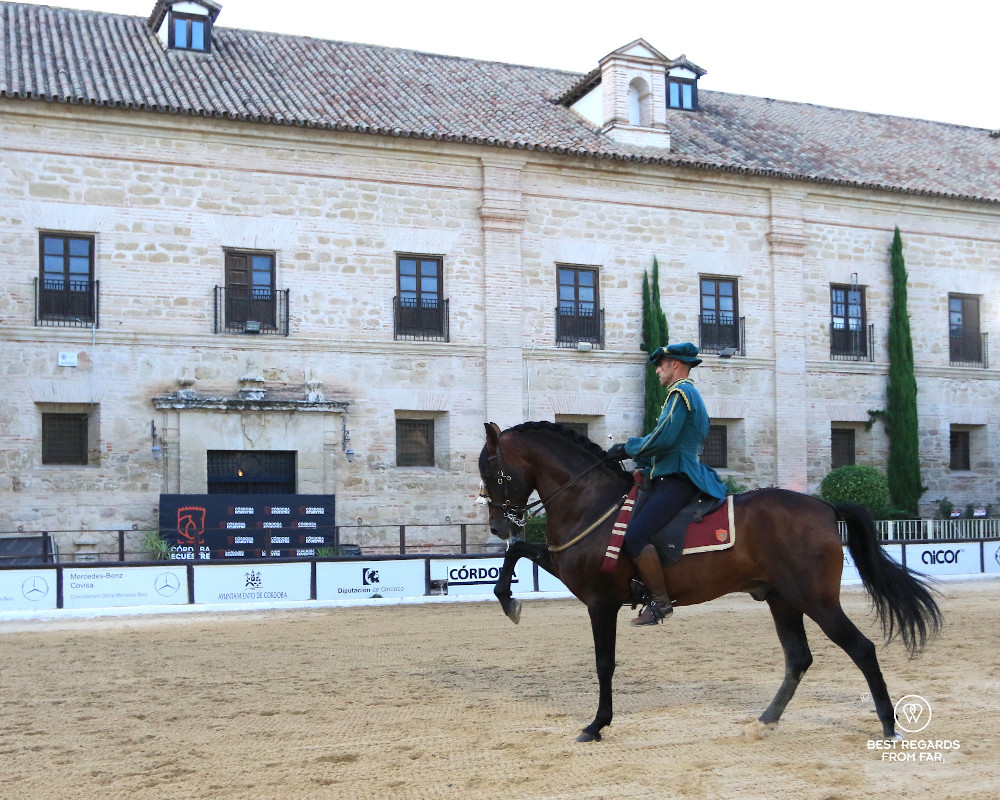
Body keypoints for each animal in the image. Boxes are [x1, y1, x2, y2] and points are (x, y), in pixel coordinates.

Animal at [478, 421, 942, 743]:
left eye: (492, 471)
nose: (499, 526)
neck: (592, 501)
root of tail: (824, 506)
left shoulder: (600, 602)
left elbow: (604, 664)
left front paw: (596, 724)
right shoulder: (567, 571)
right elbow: (517, 553)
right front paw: (507, 599)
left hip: (818, 602)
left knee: (861, 649)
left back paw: (889, 726)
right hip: (783, 600)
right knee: (798, 659)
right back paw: (765, 721)